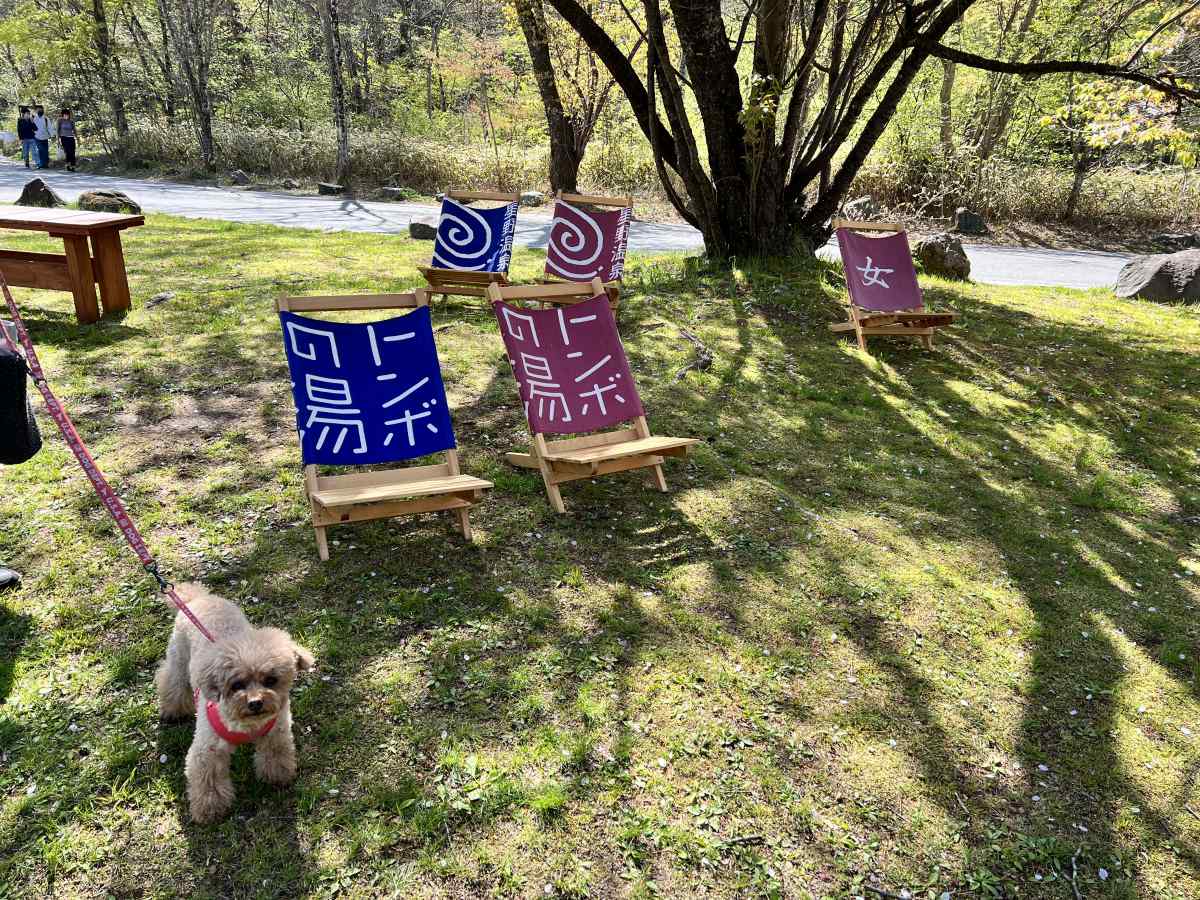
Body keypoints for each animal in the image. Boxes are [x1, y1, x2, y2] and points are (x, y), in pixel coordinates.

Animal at [154, 585, 314, 825]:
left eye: (271, 680)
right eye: (237, 685)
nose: (256, 702)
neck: (247, 725)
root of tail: (199, 597)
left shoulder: (276, 733)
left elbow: (275, 754)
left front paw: (277, 777)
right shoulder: (206, 751)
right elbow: (208, 780)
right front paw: (210, 810)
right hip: (178, 658)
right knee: (172, 681)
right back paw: (173, 710)